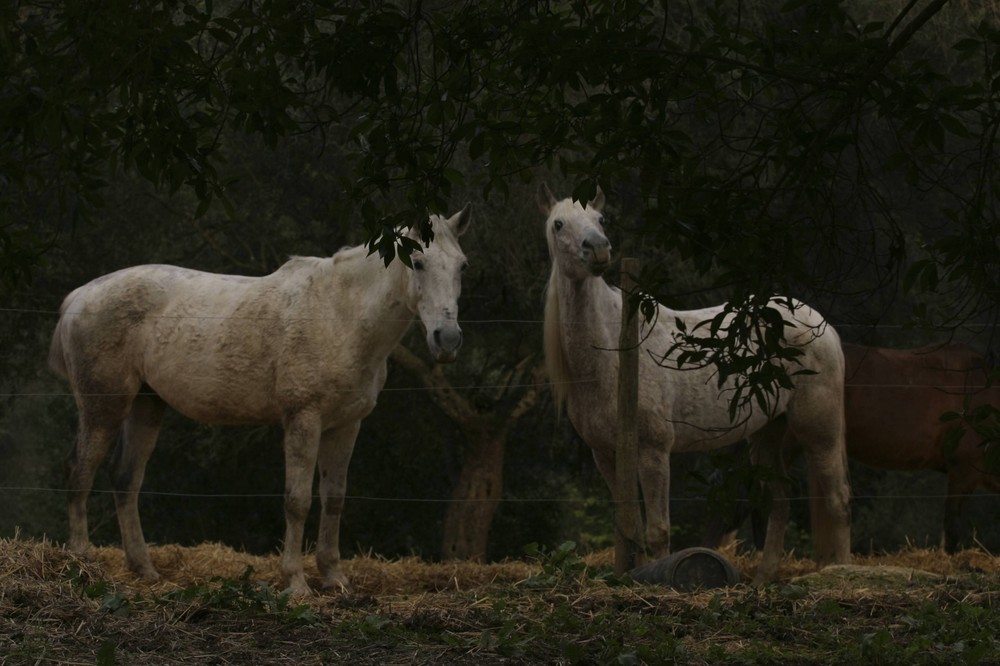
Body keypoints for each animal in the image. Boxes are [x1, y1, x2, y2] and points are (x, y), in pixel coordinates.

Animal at [52, 205, 474, 592]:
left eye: (462, 266)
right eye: (417, 262)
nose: (448, 339)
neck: (340, 316)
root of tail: (79, 296)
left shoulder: (345, 425)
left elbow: (334, 498)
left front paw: (334, 578)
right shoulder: (303, 419)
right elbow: (298, 500)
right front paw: (296, 583)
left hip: (146, 406)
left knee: (125, 480)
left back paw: (144, 569)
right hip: (103, 407)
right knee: (79, 472)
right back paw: (82, 562)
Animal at [540, 184, 852, 580]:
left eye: (601, 219)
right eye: (558, 224)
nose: (596, 248)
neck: (613, 352)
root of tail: (821, 324)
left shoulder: (654, 452)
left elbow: (657, 530)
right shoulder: (606, 457)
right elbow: (630, 526)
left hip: (820, 430)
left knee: (838, 499)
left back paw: (843, 571)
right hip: (767, 433)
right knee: (779, 500)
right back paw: (764, 578)